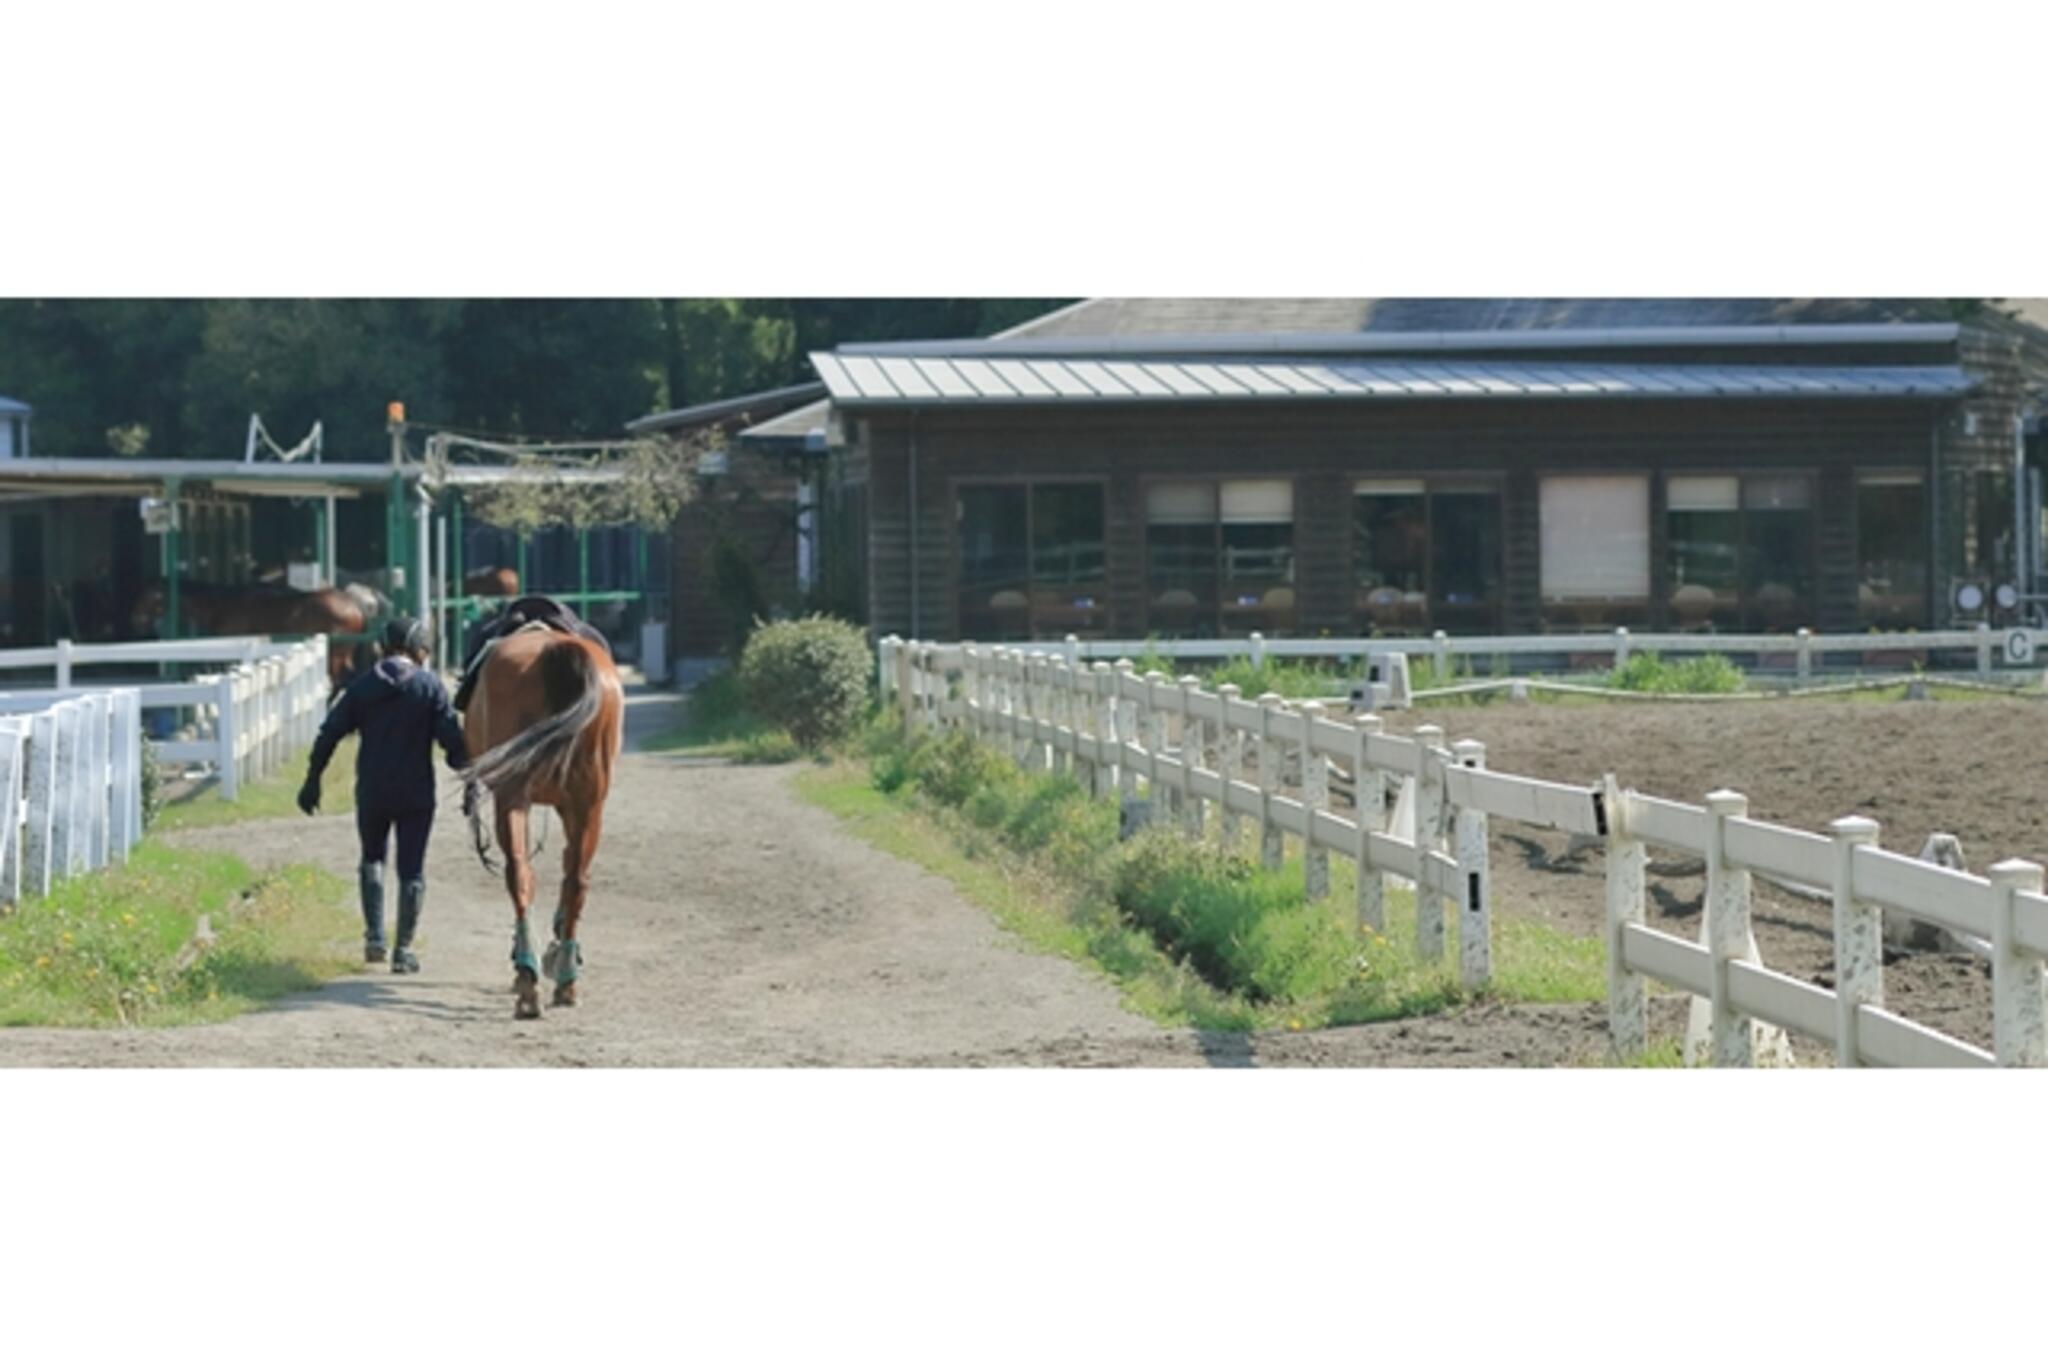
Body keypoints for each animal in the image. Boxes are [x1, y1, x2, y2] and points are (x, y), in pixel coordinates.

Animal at [464, 626, 622, 1019]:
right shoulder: (572, 808)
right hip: (582, 805)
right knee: (571, 879)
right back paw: (558, 979)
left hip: (517, 800)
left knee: (524, 874)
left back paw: (529, 976)